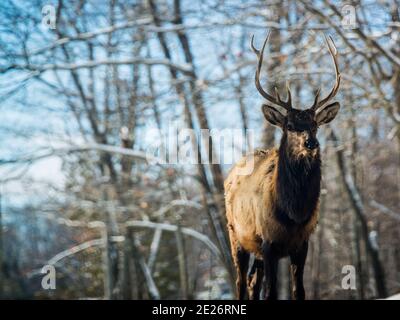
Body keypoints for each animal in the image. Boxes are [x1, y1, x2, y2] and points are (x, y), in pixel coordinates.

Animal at [225, 33, 340, 302]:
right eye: (289, 125)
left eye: (315, 124)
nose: (311, 143)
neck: (293, 213)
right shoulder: (268, 242)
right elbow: (271, 292)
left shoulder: (302, 242)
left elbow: (299, 291)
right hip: (236, 234)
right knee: (241, 282)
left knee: (252, 282)